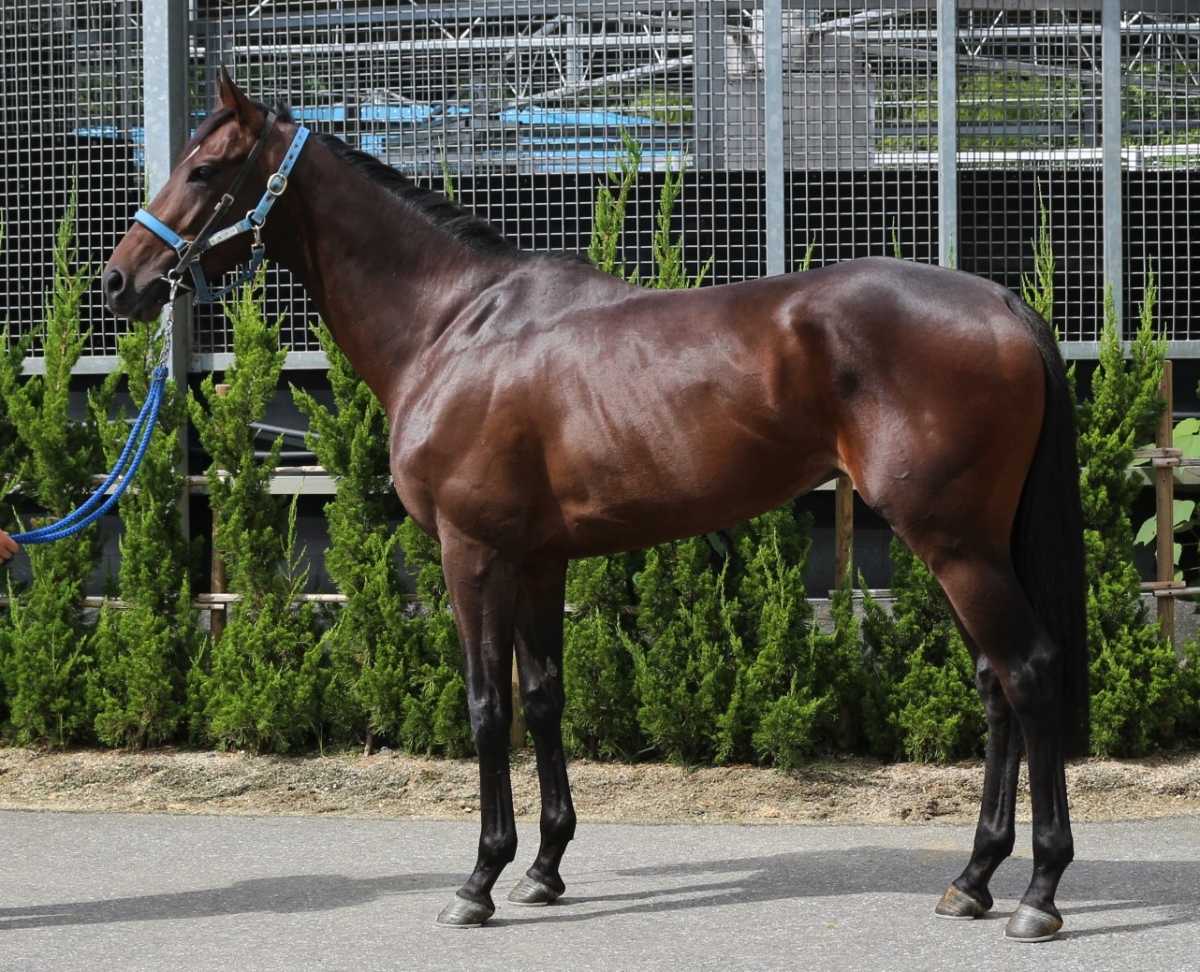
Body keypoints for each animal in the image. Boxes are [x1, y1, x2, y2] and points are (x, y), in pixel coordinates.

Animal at [103, 71, 1087, 943]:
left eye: (203, 170)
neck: (456, 324)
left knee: (1030, 672)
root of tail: (1002, 302)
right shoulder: (538, 560)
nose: (120, 281)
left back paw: (1038, 893)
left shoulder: (473, 554)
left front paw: (479, 880)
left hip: (955, 543)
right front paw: (542, 868)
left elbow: (486, 706)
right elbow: (543, 699)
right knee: (997, 686)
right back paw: (973, 879)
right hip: (971, 546)